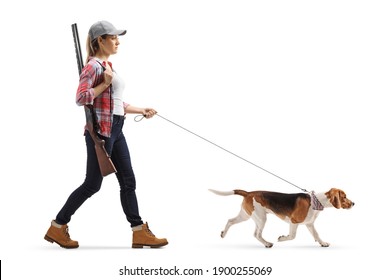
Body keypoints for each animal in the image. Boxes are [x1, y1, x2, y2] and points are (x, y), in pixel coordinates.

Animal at [209, 188, 354, 247]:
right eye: (344, 196)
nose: (353, 203)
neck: (317, 201)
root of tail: (249, 193)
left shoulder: (309, 224)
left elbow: (317, 235)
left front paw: (323, 243)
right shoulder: (294, 222)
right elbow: (292, 236)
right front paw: (282, 238)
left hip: (246, 215)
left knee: (230, 221)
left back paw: (223, 234)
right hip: (261, 218)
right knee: (256, 234)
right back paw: (267, 244)